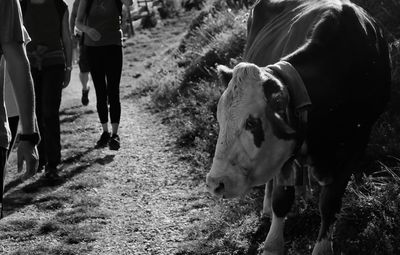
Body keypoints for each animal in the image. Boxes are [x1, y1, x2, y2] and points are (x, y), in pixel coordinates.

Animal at [206, 0, 390, 254]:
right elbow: (281, 200)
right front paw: (273, 243)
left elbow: (330, 203)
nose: (216, 183)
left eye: (251, 122)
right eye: (221, 120)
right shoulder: (286, 150)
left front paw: (322, 247)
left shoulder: (357, 141)